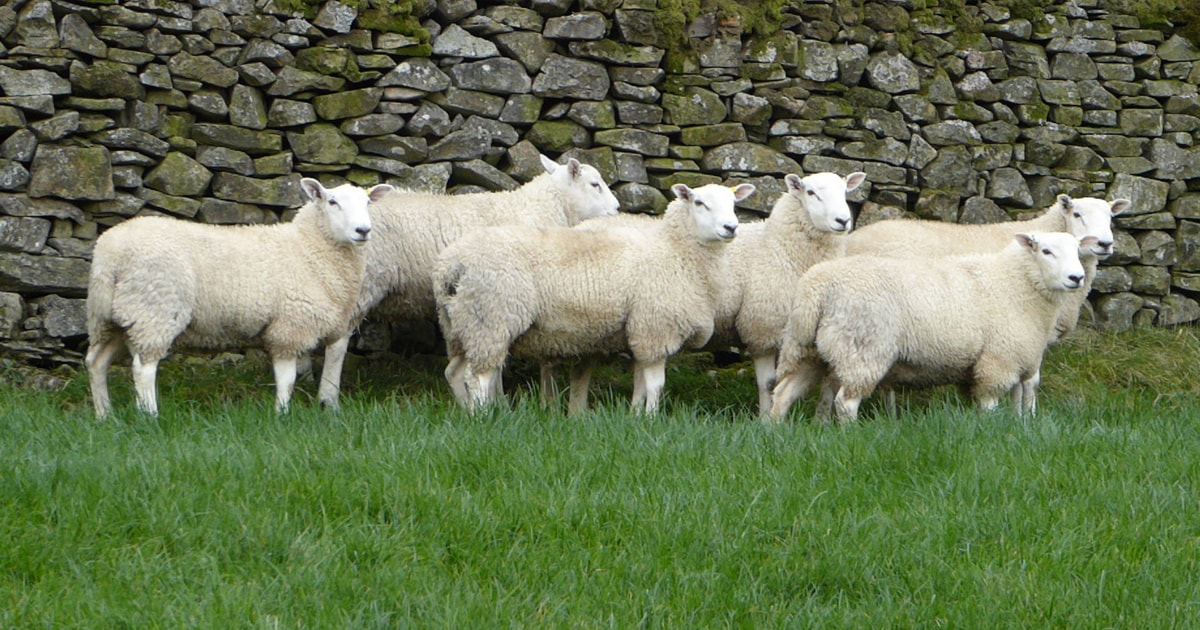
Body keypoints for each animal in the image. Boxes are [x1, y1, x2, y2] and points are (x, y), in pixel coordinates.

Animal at [85, 178, 394, 418]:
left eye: (368, 203)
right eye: (332, 202)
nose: (363, 231)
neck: (309, 247)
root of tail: (110, 251)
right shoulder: (289, 327)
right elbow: (287, 378)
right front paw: (282, 414)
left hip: (110, 317)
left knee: (96, 362)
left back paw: (104, 414)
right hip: (153, 310)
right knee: (143, 368)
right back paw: (149, 415)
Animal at [315, 154, 620, 409]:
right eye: (595, 184)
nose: (617, 209)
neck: (542, 208)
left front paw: (497, 401)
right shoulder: (498, 301)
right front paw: (498, 402)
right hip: (361, 283)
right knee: (337, 343)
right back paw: (329, 399)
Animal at [434, 182, 754, 413]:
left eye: (733, 203)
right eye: (699, 203)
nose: (731, 227)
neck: (675, 252)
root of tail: (452, 264)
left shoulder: (639, 331)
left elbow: (640, 383)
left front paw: (634, 416)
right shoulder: (655, 328)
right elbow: (655, 385)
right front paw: (651, 419)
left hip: (461, 322)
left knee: (454, 372)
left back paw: (466, 413)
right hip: (491, 317)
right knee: (477, 377)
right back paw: (482, 417)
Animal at [766, 231, 1094, 423]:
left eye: (1078, 251)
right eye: (1046, 251)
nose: (1076, 278)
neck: (1015, 282)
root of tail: (816, 289)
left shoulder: (1018, 358)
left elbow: (1018, 400)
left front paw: (1018, 427)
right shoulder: (998, 361)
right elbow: (990, 404)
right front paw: (991, 429)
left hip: (806, 348)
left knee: (783, 394)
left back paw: (774, 433)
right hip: (863, 348)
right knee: (846, 402)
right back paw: (851, 435)